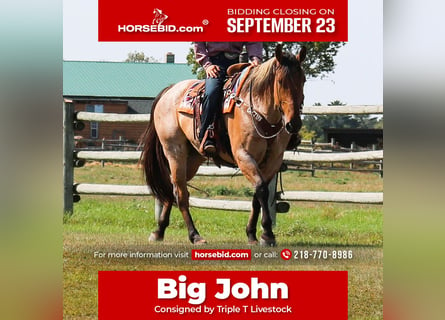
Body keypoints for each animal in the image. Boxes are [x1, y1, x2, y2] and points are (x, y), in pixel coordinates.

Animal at [140, 44, 306, 245]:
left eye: (303, 80)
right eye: (281, 82)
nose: (293, 124)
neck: (259, 111)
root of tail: (169, 90)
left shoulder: (273, 161)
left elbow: (257, 195)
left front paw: (252, 234)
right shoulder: (243, 156)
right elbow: (261, 189)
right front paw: (267, 233)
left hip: (192, 158)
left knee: (173, 188)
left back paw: (159, 230)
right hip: (174, 152)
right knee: (181, 193)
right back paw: (195, 235)